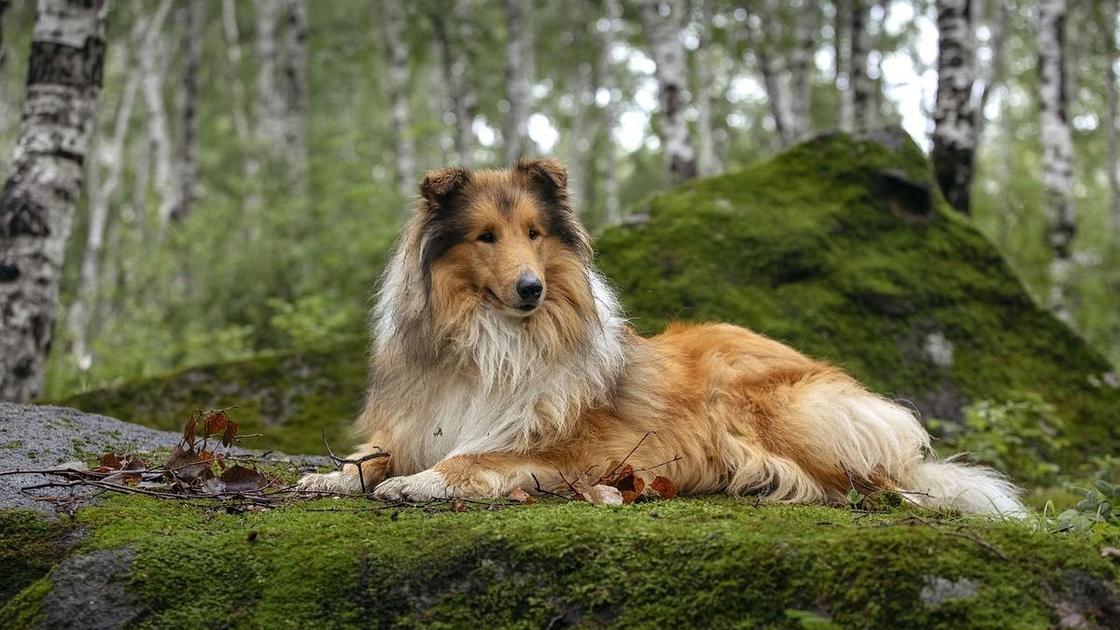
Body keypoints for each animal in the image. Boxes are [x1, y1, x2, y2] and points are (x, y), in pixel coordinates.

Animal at [295, 158, 1025, 515]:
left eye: (535, 232)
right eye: (486, 237)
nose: (531, 289)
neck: (495, 337)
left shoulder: (573, 449)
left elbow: (471, 458)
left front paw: (417, 485)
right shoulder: (422, 422)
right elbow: (371, 457)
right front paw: (329, 477)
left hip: (778, 409)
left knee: (879, 482)